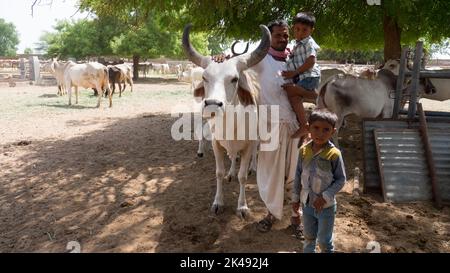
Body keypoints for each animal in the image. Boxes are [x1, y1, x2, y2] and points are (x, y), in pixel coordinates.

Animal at [181, 23, 268, 217]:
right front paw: (218, 201)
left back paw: (253, 168)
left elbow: (243, 176)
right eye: (204, 77)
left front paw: (242, 206)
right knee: (233, 157)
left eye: (234, 79)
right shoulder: (217, 144)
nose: (212, 104)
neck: (231, 123)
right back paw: (231, 173)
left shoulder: (248, 144)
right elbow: (219, 173)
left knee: (255, 152)